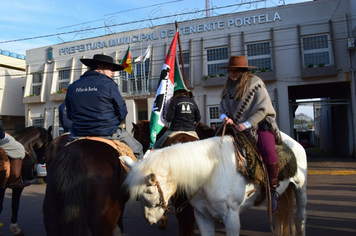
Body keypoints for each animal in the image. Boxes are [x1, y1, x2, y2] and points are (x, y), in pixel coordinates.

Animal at [121, 132, 308, 235]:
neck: (210, 172)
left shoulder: (232, 218)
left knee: (301, 216)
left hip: (300, 187)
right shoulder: (203, 217)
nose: (150, 220)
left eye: (149, 192)